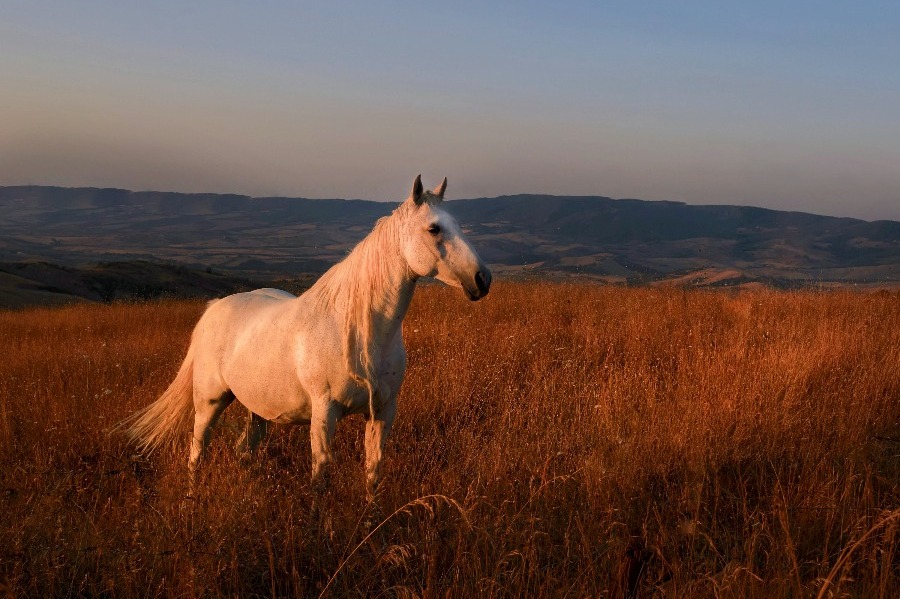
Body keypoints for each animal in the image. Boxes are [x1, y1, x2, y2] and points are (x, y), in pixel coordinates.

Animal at [125, 176, 491, 497]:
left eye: (458, 225)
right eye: (434, 228)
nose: (482, 279)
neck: (360, 333)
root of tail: (213, 309)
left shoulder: (383, 411)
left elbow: (373, 471)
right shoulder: (324, 412)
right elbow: (321, 474)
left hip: (257, 409)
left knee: (244, 449)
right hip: (209, 401)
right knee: (197, 451)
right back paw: (192, 498)